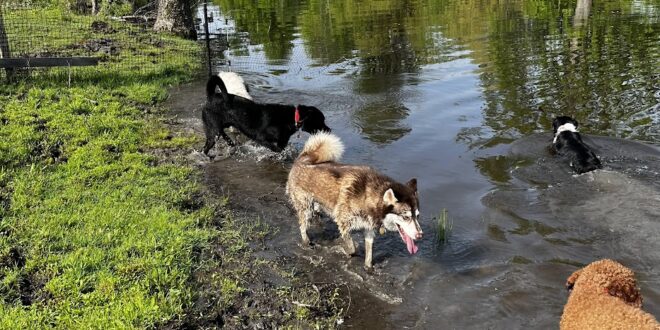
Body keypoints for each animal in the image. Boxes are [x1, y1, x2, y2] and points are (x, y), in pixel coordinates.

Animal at [202, 74, 330, 159]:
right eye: (321, 120)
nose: (329, 130)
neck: (292, 118)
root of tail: (211, 97)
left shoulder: (282, 141)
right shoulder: (261, 137)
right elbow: (277, 149)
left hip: (217, 128)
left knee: (223, 135)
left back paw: (230, 144)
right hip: (213, 131)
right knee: (205, 148)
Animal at [288, 133, 422, 270]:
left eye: (417, 216)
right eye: (406, 217)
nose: (420, 235)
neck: (367, 195)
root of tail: (304, 158)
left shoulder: (368, 229)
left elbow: (369, 253)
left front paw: (368, 268)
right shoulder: (343, 222)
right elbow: (352, 247)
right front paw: (345, 251)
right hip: (305, 208)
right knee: (302, 226)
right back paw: (306, 241)